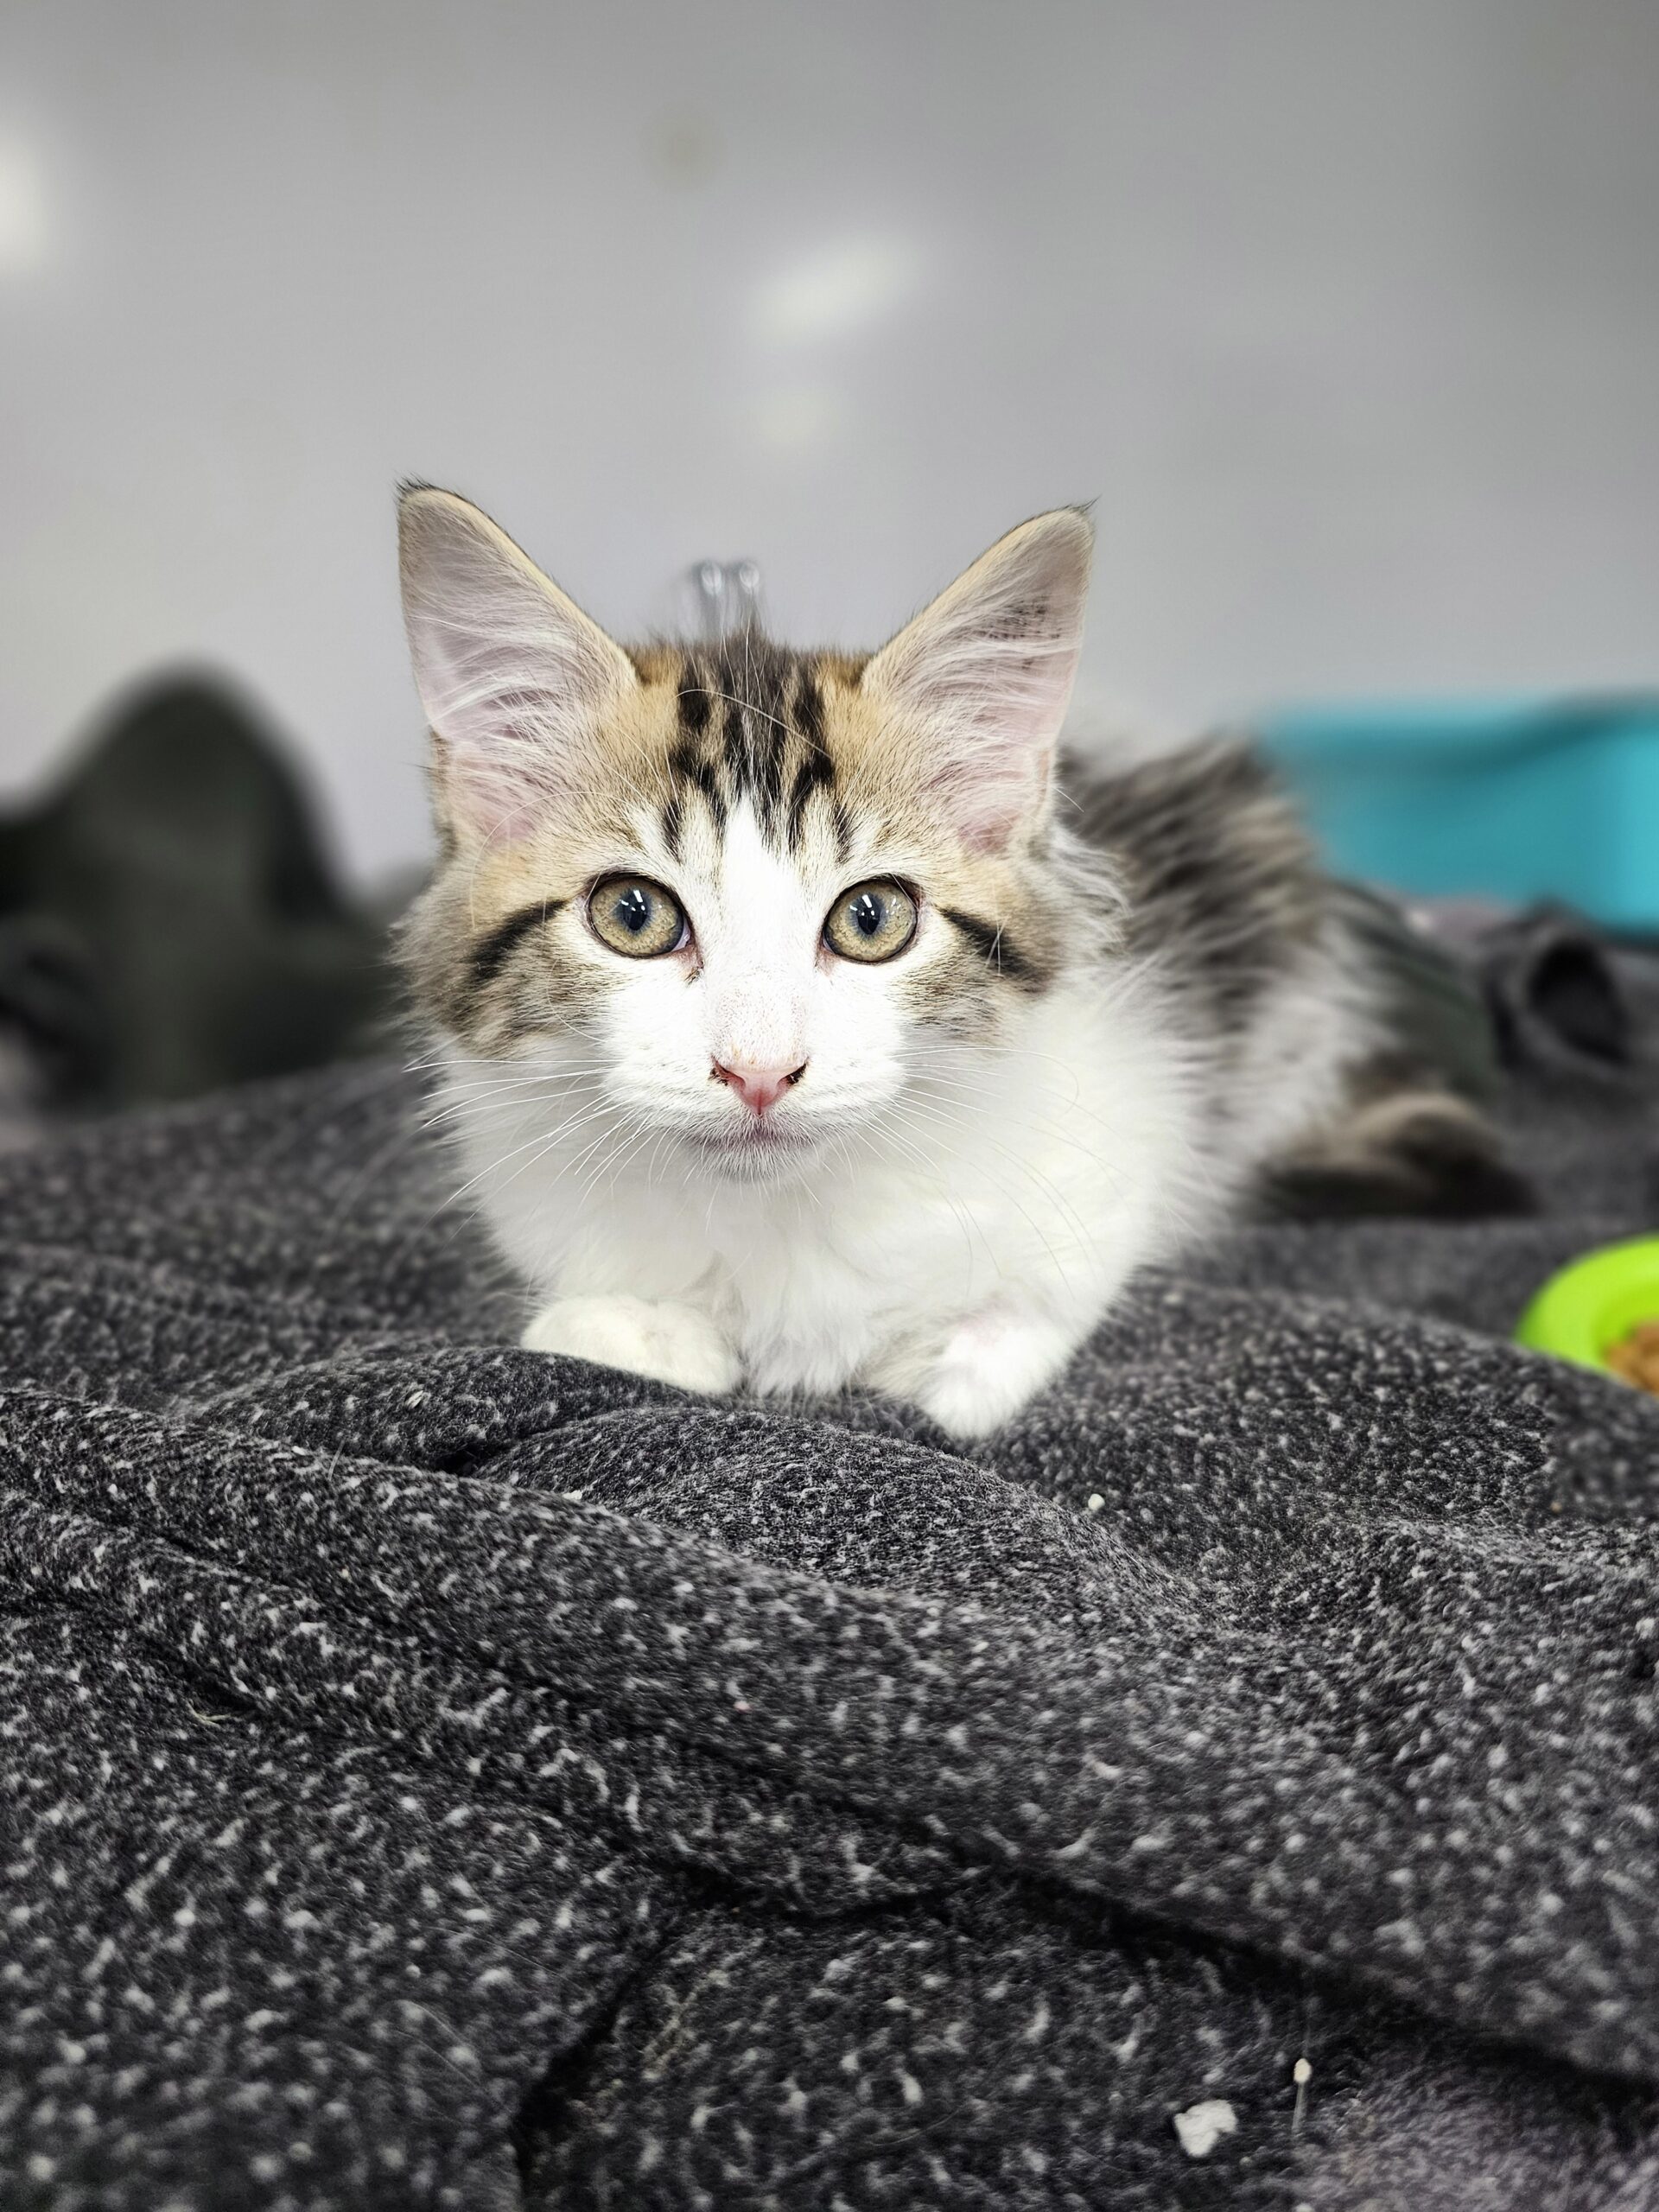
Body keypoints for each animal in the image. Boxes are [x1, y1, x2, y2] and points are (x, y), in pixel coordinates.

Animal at [398, 486, 1523, 1438]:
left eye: (871, 918)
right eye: (632, 914)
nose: (759, 1072)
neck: (779, 1217)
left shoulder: (1132, 1099)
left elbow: (1038, 1303)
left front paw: (951, 1360)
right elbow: (594, 1318)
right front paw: (630, 1329)